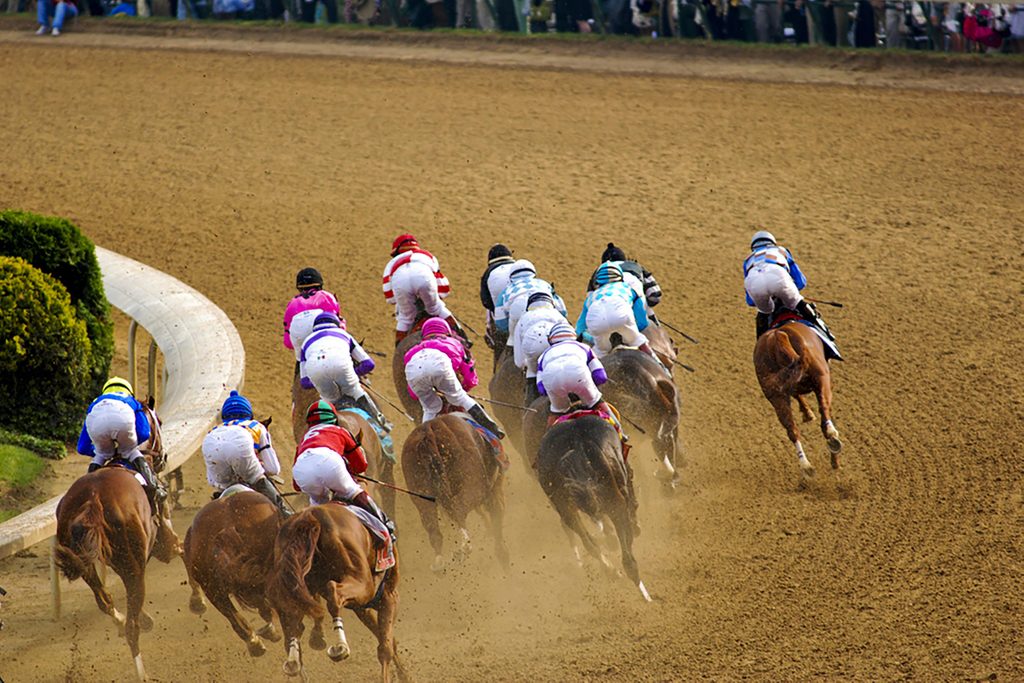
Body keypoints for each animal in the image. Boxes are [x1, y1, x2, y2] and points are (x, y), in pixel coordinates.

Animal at [53, 399, 181, 681]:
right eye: (158, 422)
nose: (164, 458)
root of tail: (94, 497)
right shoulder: (163, 544)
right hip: (131, 562)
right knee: (132, 626)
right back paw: (142, 673)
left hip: (86, 561)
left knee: (105, 599)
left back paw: (122, 620)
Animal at [266, 504, 409, 682]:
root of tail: (309, 516)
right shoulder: (389, 597)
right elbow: (386, 647)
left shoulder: (361, 607)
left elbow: (385, 638)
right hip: (362, 582)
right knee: (333, 591)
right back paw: (340, 647)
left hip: (294, 585)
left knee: (291, 617)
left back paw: (294, 660)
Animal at [401, 413, 510, 571]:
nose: (500, 431)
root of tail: (429, 433)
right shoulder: (495, 491)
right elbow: (497, 520)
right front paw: (503, 557)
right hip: (474, 488)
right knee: (459, 509)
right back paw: (464, 547)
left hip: (422, 498)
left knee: (433, 529)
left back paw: (439, 563)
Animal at [536, 415, 650, 602]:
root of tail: (576, 444)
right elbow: (631, 504)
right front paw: (636, 527)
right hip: (613, 495)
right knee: (626, 551)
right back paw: (644, 593)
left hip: (563, 505)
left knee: (589, 542)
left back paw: (612, 571)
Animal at [753, 316, 842, 478]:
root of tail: (775, 338)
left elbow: (797, 395)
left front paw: (807, 413)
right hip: (822, 378)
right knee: (825, 415)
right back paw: (834, 450)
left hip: (776, 397)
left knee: (792, 430)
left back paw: (806, 466)